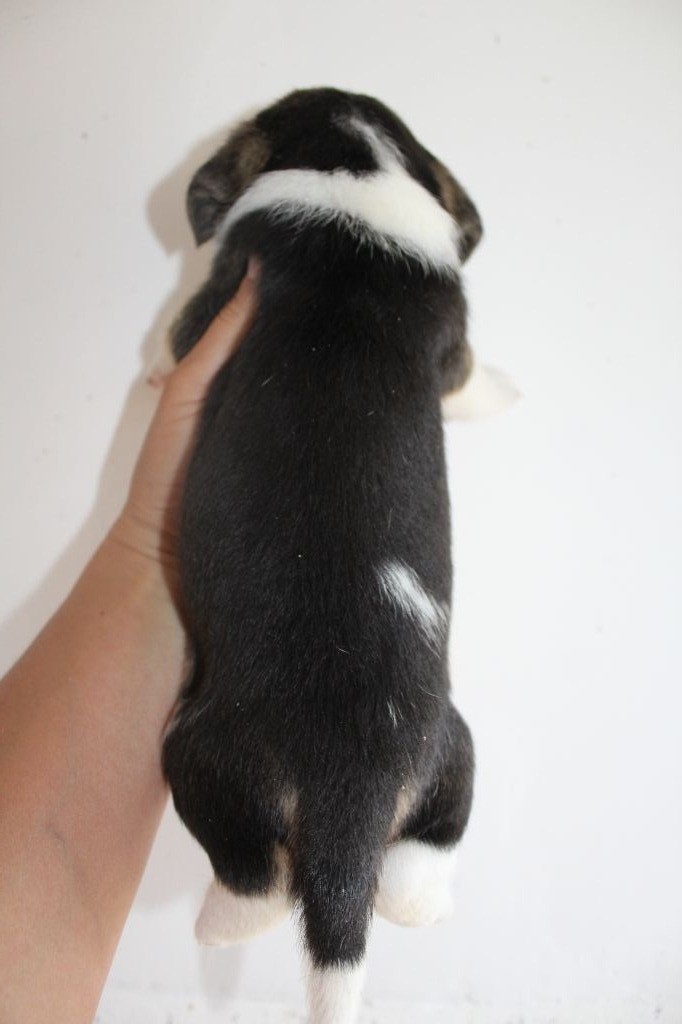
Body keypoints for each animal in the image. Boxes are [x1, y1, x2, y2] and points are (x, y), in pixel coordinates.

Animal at [161, 87, 516, 1023]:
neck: (354, 164)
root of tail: (346, 800)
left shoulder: (217, 294)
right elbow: (465, 374)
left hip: (195, 757)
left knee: (254, 883)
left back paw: (215, 924)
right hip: (454, 753)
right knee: (415, 867)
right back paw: (427, 904)